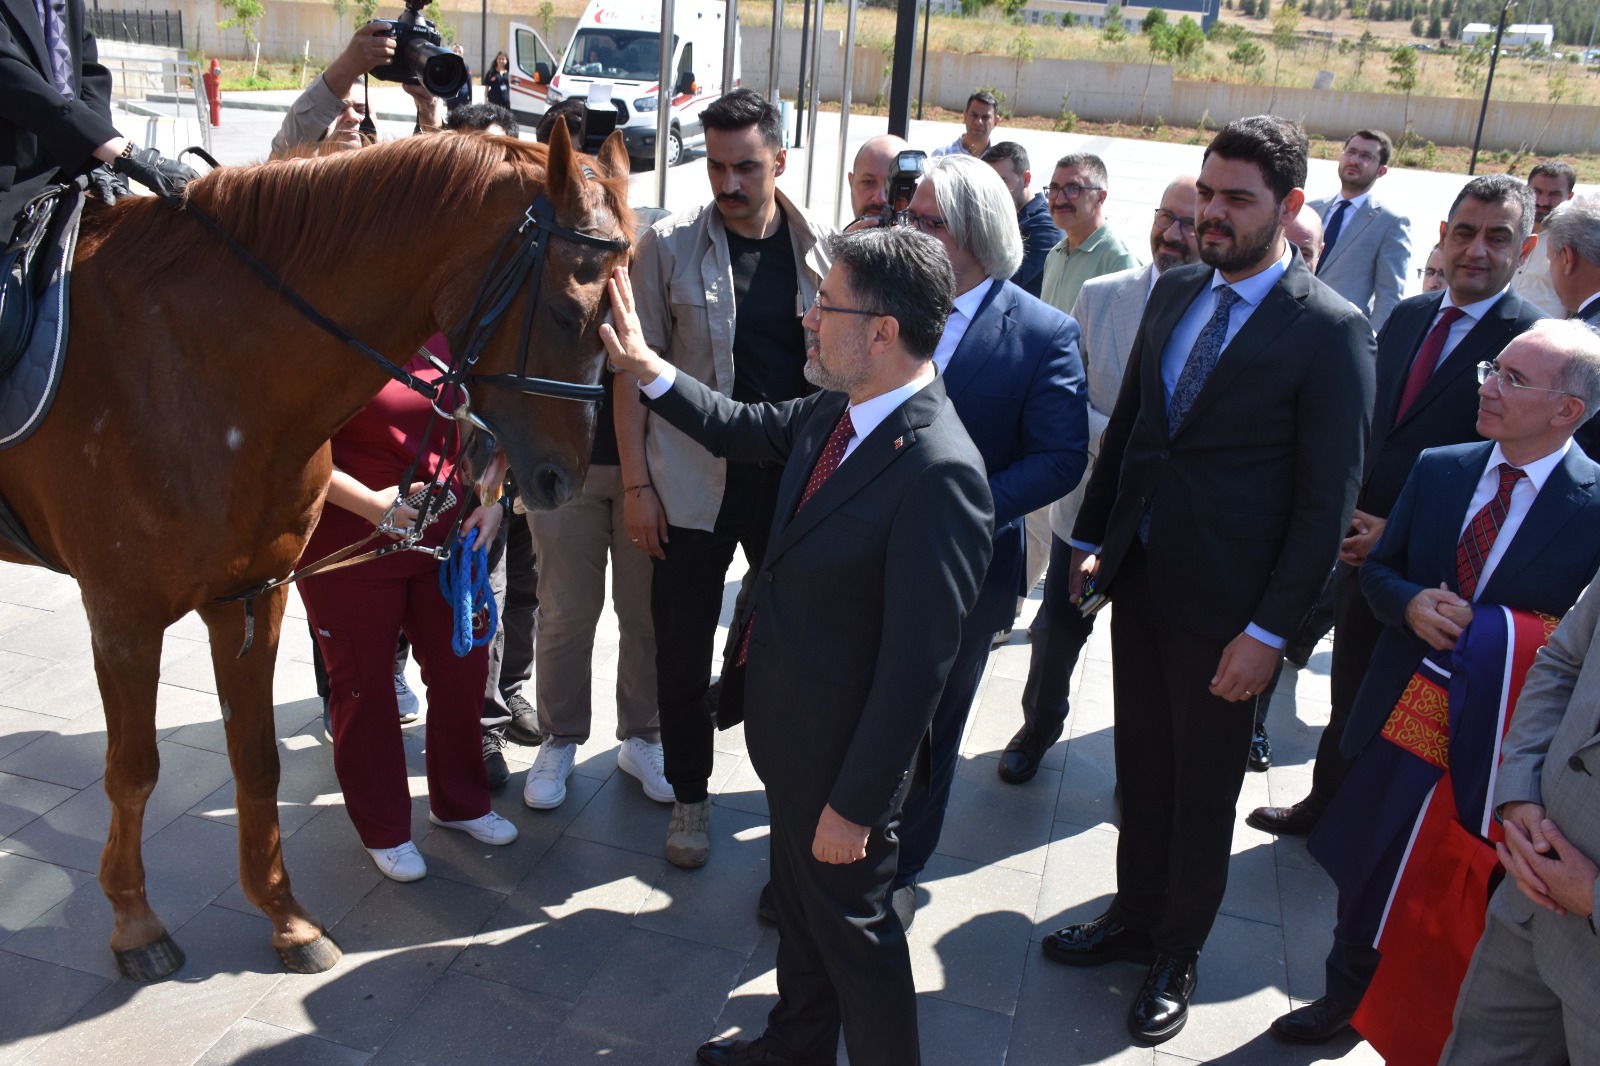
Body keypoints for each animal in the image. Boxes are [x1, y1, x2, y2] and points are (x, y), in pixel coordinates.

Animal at [0, 120, 636, 973]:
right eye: (571, 311)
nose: (562, 477)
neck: (196, 360)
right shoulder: (123, 617)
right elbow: (132, 772)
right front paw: (136, 924)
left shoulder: (249, 597)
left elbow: (257, 760)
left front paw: (284, 916)